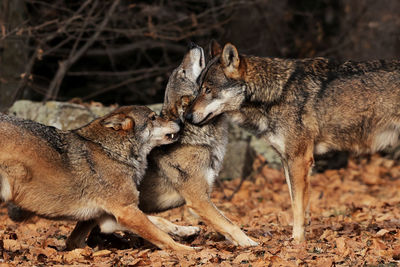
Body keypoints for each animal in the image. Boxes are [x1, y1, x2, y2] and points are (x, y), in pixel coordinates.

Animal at [0, 105, 198, 251]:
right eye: (153, 118)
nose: (180, 120)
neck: (111, 151)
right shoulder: (126, 211)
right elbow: (161, 235)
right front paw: (187, 251)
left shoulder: (108, 219)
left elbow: (161, 222)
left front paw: (188, 231)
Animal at [65, 43, 256, 250]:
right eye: (183, 72)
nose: (192, 45)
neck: (197, 135)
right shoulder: (198, 200)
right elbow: (230, 224)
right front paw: (250, 243)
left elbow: (224, 225)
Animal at [187, 40, 400, 244]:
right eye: (198, 89)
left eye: (208, 90)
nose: (187, 116)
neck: (276, 93)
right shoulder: (287, 160)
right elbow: (296, 203)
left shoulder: (299, 160)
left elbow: (297, 207)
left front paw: (296, 242)